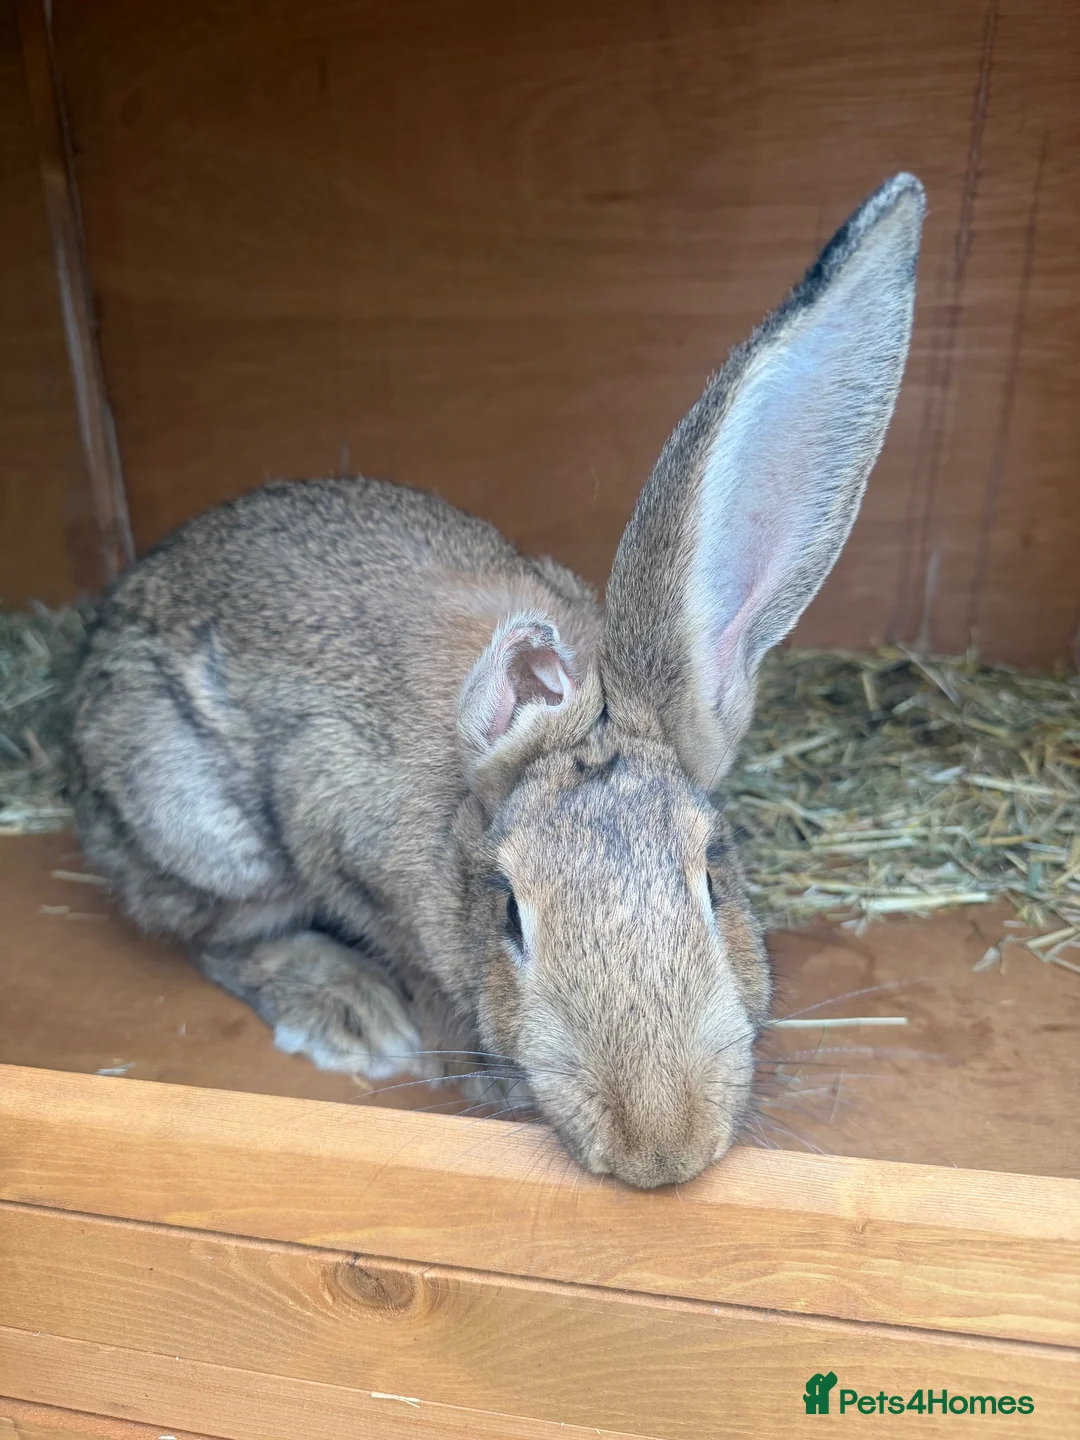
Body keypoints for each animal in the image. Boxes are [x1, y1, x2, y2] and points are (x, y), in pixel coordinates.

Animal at [68, 173, 924, 1189]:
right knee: (215, 934)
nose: (660, 1152)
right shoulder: (339, 843)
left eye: (715, 880)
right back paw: (348, 1010)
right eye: (511, 916)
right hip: (201, 828)